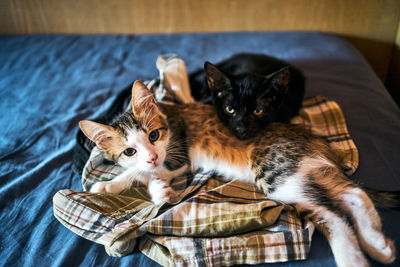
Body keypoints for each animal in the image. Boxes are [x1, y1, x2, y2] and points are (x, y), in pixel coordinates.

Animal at [79, 81, 396, 267]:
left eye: (154, 135)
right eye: (129, 150)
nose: (152, 155)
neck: (169, 118)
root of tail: (313, 140)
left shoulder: (179, 156)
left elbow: (148, 174)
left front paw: (157, 190)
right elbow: (136, 171)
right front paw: (108, 186)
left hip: (276, 174)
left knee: (333, 215)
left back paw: (355, 258)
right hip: (305, 169)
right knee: (352, 193)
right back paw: (379, 246)